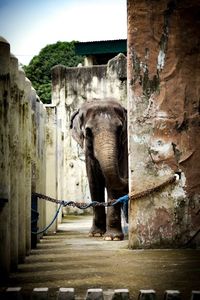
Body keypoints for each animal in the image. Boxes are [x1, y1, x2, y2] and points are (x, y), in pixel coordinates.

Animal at [70, 99, 128, 240]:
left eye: (120, 129)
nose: (127, 177)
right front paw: (96, 234)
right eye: (88, 131)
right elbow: (94, 183)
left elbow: (112, 186)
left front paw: (112, 238)